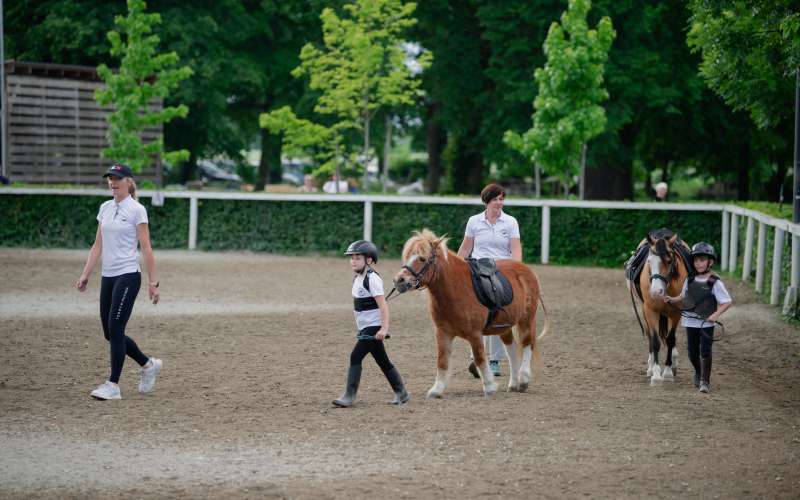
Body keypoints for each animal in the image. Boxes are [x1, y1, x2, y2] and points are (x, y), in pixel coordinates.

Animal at [390, 230, 548, 398]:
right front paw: (437, 389)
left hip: (526, 320)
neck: (455, 289)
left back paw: (523, 380)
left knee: (527, 344)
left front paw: (489, 386)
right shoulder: (442, 333)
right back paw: (513, 384)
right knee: (511, 350)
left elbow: (479, 358)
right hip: (505, 325)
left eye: (422, 258)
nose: (399, 280)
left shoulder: (475, 334)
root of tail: (526, 270)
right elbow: (442, 360)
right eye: (407, 256)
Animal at [628, 232, 692, 384]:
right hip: (644, 310)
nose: (656, 292)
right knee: (650, 336)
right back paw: (650, 368)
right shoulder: (650, 311)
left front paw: (668, 372)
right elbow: (655, 340)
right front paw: (656, 374)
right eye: (649, 262)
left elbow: (670, 339)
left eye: (669, 261)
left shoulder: (675, 312)